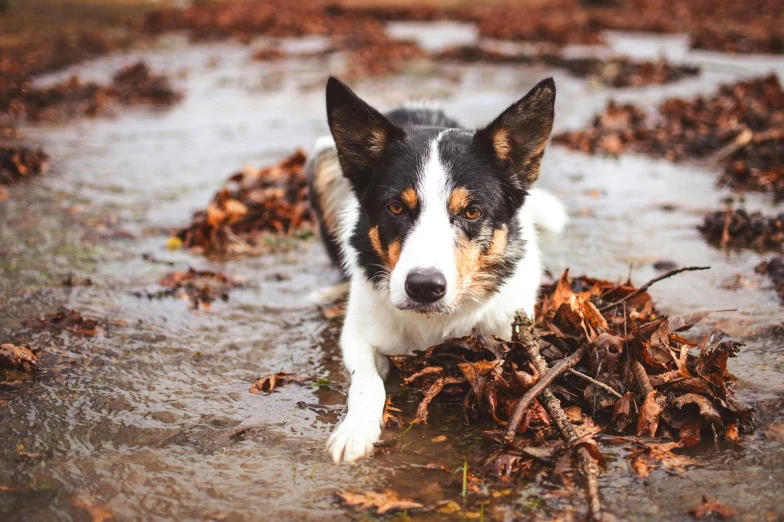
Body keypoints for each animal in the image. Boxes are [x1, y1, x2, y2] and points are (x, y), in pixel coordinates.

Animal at [304, 76, 568, 460]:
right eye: (396, 207)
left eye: (472, 211)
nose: (424, 287)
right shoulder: (357, 337)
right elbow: (367, 382)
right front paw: (355, 430)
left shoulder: (511, 329)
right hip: (321, 156)